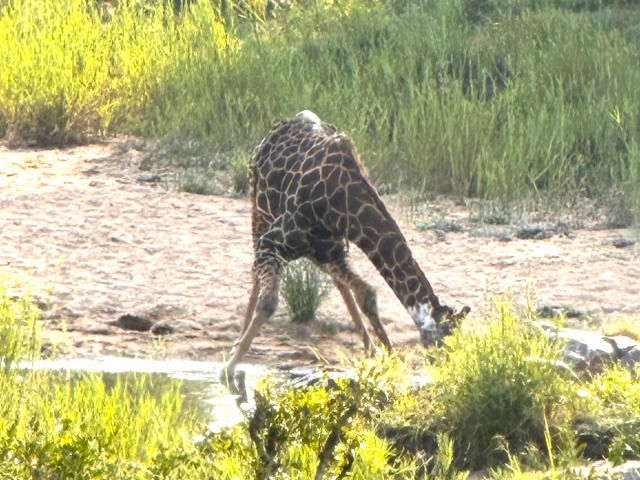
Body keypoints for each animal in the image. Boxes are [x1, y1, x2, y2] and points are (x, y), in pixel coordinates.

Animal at [220, 111, 470, 386]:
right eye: (443, 345)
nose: (448, 374)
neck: (343, 203)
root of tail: (286, 122)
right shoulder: (274, 241)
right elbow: (268, 301)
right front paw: (228, 368)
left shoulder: (332, 250)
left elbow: (366, 293)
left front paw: (389, 358)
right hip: (258, 208)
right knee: (256, 272)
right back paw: (234, 348)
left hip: (318, 251)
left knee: (341, 285)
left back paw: (369, 348)